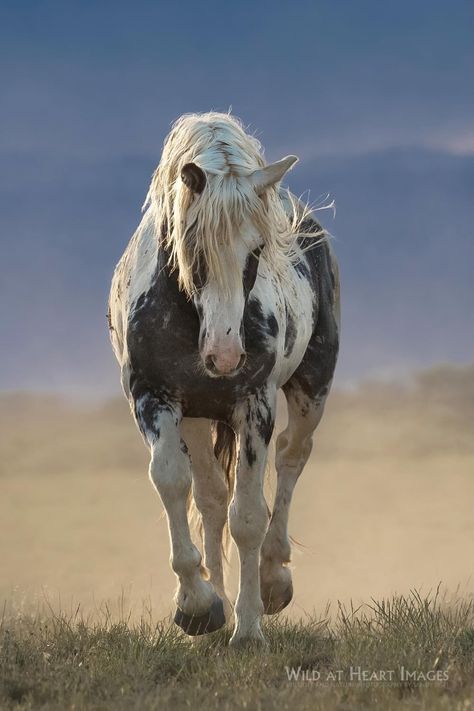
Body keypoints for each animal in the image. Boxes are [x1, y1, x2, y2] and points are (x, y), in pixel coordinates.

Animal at [109, 112, 338, 652]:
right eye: (193, 245)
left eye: (257, 248)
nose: (225, 354)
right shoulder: (154, 398)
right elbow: (174, 482)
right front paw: (198, 607)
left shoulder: (254, 405)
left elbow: (249, 516)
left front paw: (249, 627)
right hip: (195, 416)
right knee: (211, 497)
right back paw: (215, 597)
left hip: (312, 386)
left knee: (292, 459)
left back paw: (274, 579)